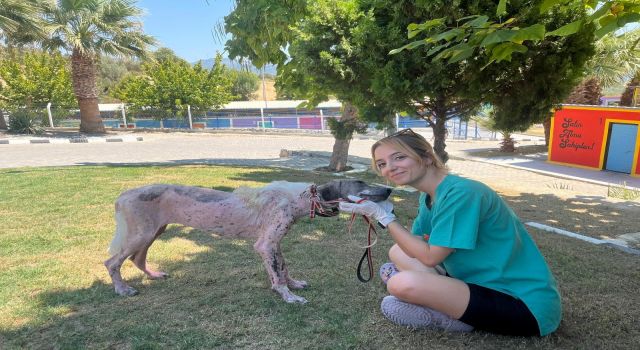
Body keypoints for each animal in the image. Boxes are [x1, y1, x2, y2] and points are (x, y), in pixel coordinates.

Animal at [104, 179, 390, 302]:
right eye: (360, 181)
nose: (390, 189)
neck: (298, 199)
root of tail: (122, 195)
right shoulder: (265, 245)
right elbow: (276, 276)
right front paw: (287, 296)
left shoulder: (275, 243)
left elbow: (283, 268)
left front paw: (293, 285)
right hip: (141, 234)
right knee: (111, 262)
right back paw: (122, 290)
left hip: (153, 232)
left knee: (137, 259)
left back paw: (152, 275)